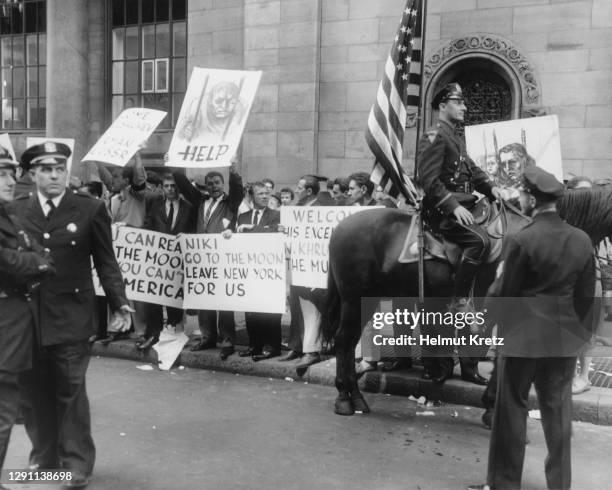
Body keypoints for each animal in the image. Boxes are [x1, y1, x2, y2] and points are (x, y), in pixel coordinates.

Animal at [320, 189, 612, 416]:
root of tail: (339, 228)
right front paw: (492, 407)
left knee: (347, 342)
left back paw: (356, 396)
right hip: (354, 299)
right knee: (344, 341)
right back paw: (346, 398)